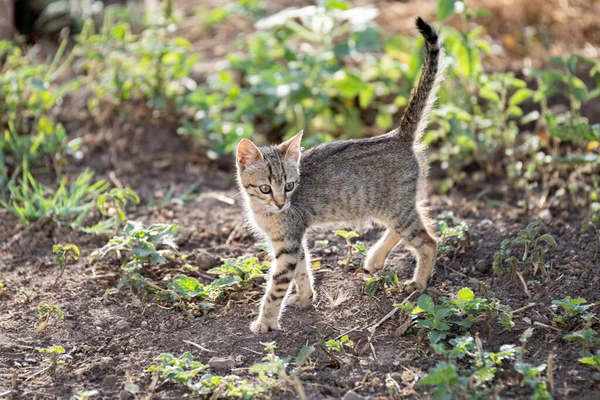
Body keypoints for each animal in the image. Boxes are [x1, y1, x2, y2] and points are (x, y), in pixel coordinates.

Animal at [237, 16, 442, 334]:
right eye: (265, 188)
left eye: (289, 186)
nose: (281, 203)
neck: (265, 212)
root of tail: (398, 135)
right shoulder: (295, 241)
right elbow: (303, 270)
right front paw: (306, 298)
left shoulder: (288, 243)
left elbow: (277, 286)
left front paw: (266, 322)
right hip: (397, 204)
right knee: (413, 225)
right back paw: (375, 259)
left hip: (396, 208)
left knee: (429, 241)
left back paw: (419, 283)